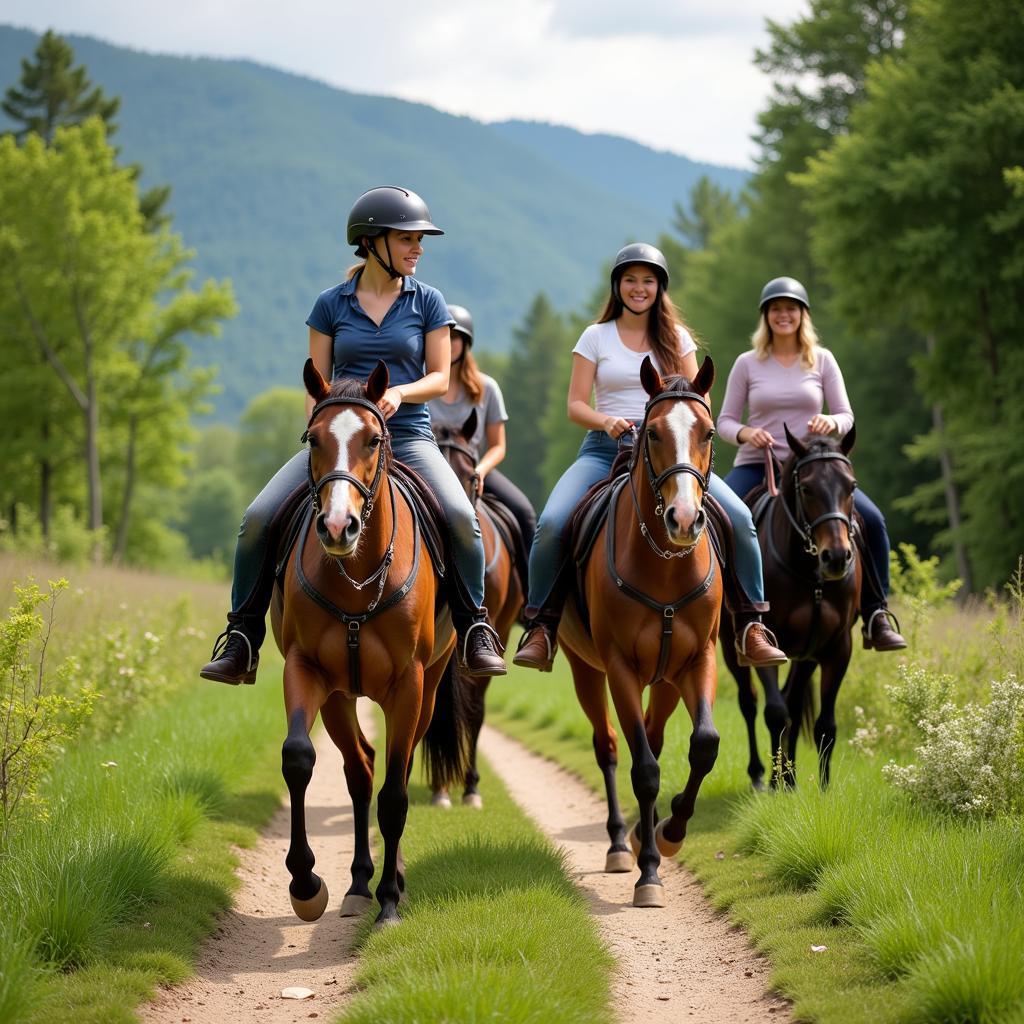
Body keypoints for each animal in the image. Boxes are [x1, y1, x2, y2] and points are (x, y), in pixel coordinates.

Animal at [268, 360, 468, 929]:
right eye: (312, 439)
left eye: (374, 439)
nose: (338, 526)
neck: (356, 576)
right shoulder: (306, 670)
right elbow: (299, 759)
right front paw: (306, 884)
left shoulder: (408, 684)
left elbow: (396, 793)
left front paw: (391, 901)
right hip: (340, 696)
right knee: (359, 769)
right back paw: (358, 883)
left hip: (429, 686)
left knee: (391, 768)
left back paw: (388, 880)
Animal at [561, 356, 720, 909]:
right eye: (652, 433)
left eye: (708, 432)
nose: (684, 519)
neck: (665, 565)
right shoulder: (620, 670)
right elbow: (645, 770)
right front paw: (648, 870)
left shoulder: (698, 661)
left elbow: (704, 745)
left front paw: (670, 834)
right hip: (584, 670)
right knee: (610, 747)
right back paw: (618, 844)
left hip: (668, 680)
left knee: (651, 735)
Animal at [720, 423, 864, 790]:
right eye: (807, 488)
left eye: (851, 486)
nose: (836, 557)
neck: (810, 575)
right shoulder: (766, 642)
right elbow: (774, 712)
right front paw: (774, 784)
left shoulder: (837, 647)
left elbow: (825, 724)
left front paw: (823, 789)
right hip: (731, 645)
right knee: (750, 702)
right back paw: (761, 775)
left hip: (805, 656)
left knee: (794, 703)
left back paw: (792, 776)